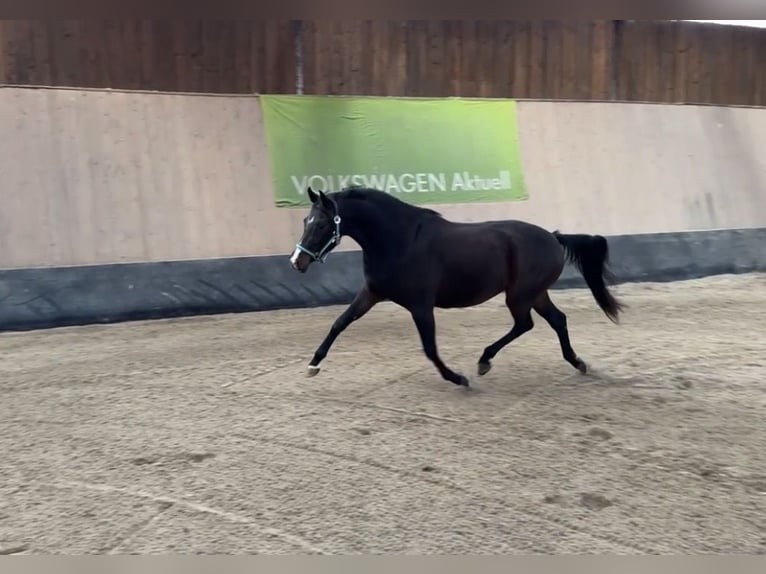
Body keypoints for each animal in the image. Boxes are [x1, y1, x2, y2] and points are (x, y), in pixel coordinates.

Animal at [289, 185, 624, 387]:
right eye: (305, 220)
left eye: (322, 224)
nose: (296, 262)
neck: (400, 240)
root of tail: (553, 237)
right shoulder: (371, 293)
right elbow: (340, 322)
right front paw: (313, 364)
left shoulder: (420, 306)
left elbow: (429, 348)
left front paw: (457, 378)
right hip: (534, 293)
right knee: (556, 320)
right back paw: (576, 362)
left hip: (520, 295)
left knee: (525, 324)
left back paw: (484, 361)